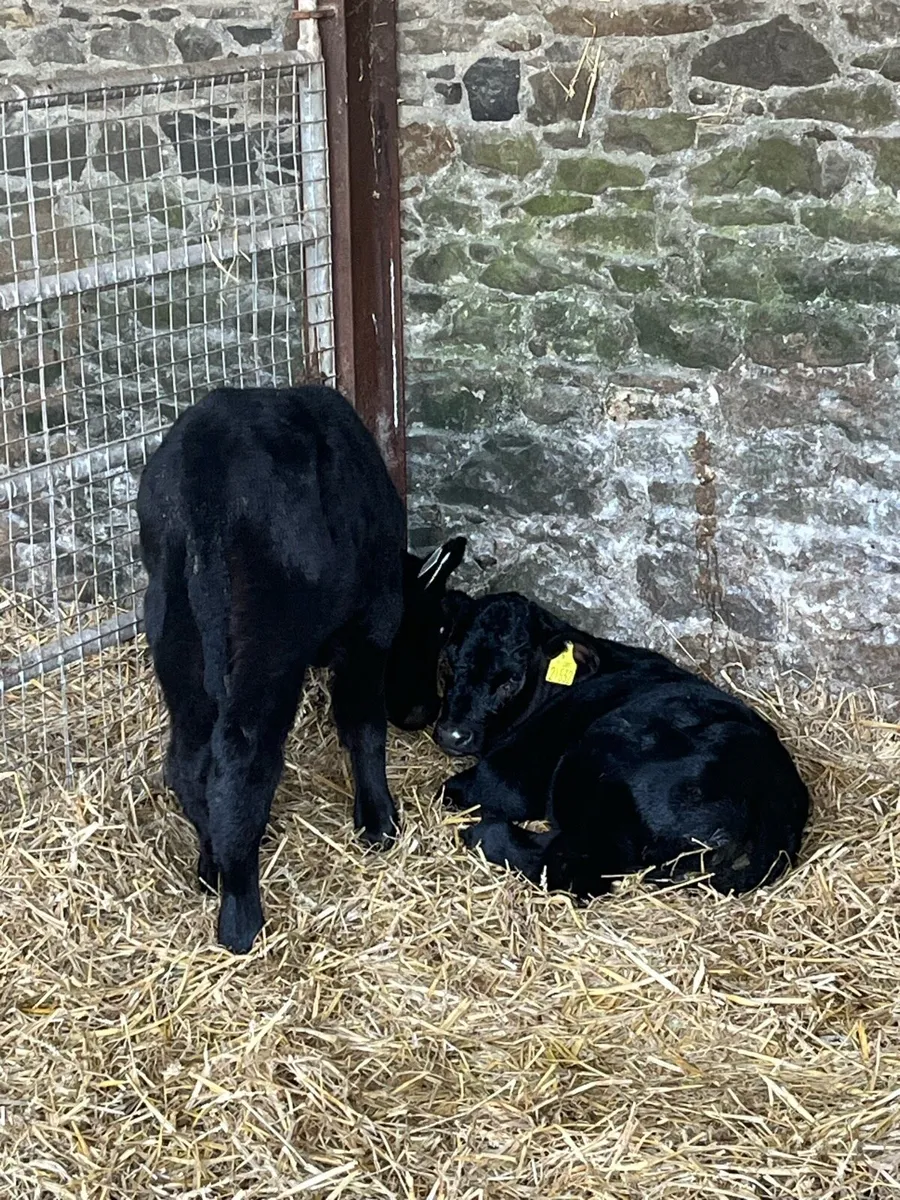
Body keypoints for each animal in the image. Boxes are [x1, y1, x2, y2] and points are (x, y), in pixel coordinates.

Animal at [137, 384, 407, 954]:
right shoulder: (376, 615)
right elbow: (363, 722)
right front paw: (378, 820)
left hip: (173, 625)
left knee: (188, 760)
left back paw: (213, 865)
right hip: (269, 642)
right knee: (241, 757)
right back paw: (241, 915)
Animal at [433, 592, 810, 900]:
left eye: (511, 680)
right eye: (449, 659)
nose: (453, 734)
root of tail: (775, 799)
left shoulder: (509, 777)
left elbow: (450, 789)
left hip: (595, 762)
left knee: (574, 868)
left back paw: (483, 832)